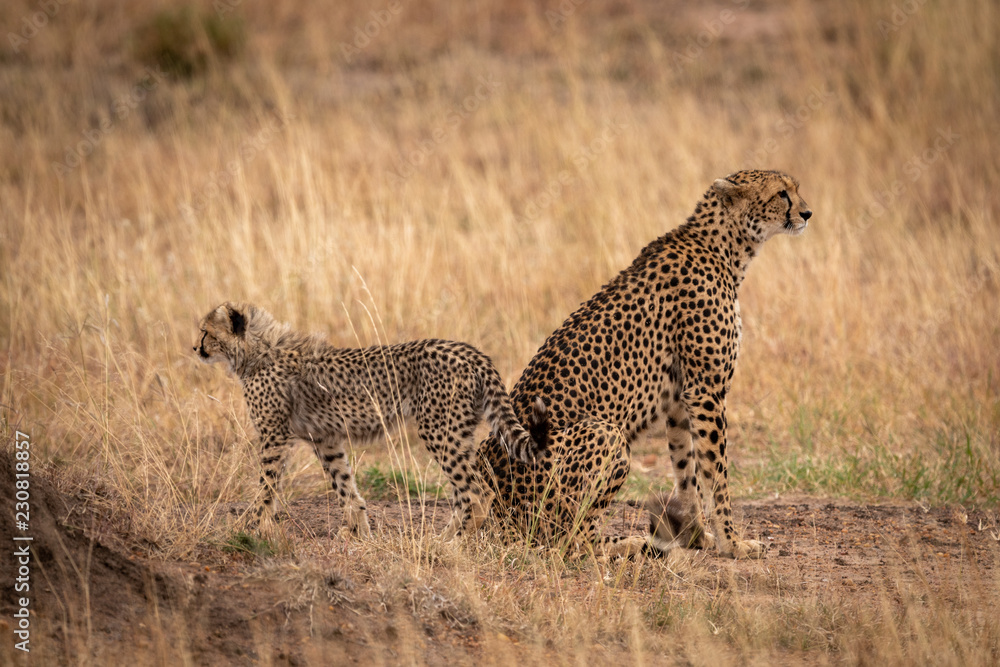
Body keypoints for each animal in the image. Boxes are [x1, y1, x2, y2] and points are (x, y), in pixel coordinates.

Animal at [194, 302, 539, 540]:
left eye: (206, 332)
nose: (195, 348)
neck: (257, 350)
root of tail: (470, 350)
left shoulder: (274, 436)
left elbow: (266, 485)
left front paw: (251, 526)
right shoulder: (325, 439)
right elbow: (343, 482)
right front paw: (358, 531)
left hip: (439, 430)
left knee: (478, 492)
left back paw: (455, 544)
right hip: (457, 432)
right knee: (465, 491)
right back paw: (442, 539)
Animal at [480, 169, 812, 559]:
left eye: (796, 189)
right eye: (781, 193)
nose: (807, 213)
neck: (724, 247)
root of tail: (494, 511)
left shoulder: (682, 401)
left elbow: (688, 474)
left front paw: (699, 538)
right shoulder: (707, 391)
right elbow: (717, 476)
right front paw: (733, 543)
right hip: (605, 435)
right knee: (569, 539)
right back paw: (630, 544)